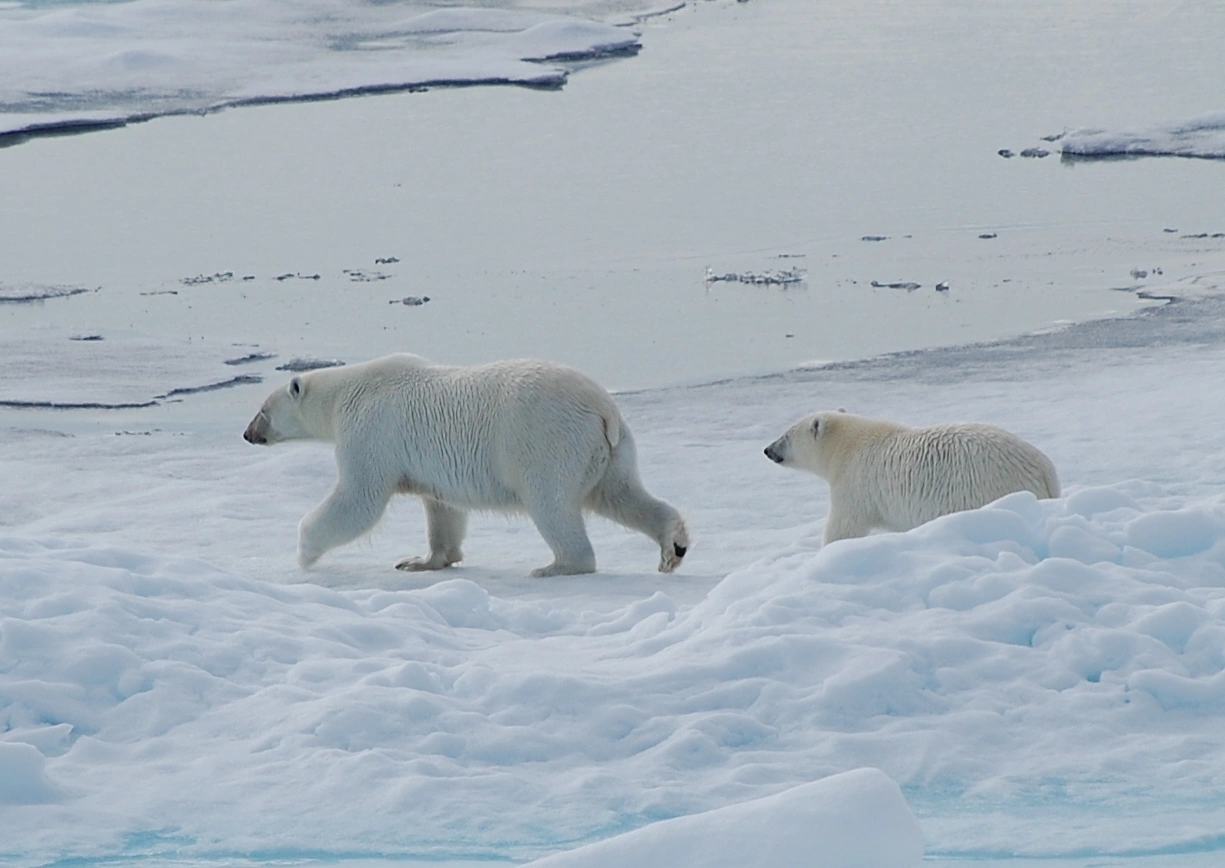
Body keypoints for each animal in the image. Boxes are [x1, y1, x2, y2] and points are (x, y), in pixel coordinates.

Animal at [238, 352, 690, 575]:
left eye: (262, 410)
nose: (246, 434)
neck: (346, 393)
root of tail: (602, 407)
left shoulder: (371, 430)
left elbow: (358, 499)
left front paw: (303, 552)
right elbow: (442, 509)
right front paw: (421, 561)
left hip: (547, 441)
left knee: (552, 504)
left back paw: (555, 566)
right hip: (609, 450)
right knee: (620, 494)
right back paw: (674, 546)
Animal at [764, 411, 1063, 541]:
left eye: (786, 435)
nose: (767, 449)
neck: (848, 446)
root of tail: (1043, 468)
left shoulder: (854, 482)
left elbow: (844, 527)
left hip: (985, 487)